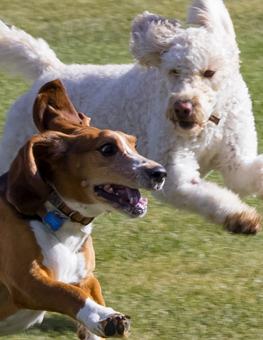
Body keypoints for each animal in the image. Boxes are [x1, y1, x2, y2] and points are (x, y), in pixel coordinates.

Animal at [0, 0, 262, 234]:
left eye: (209, 72)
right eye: (174, 71)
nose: (182, 107)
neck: (207, 126)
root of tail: (49, 71)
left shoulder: (236, 159)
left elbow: (243, 177)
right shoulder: (173, 172)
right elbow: (201, 193)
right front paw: (241, 218)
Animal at [0, 79, 166, 338]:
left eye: (135, 144)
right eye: (107, 149)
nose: (160, 173)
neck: (62, 220)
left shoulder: (83, 276)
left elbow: (90, 289)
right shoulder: (26, 280)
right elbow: (70, 294)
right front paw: (103, 315)